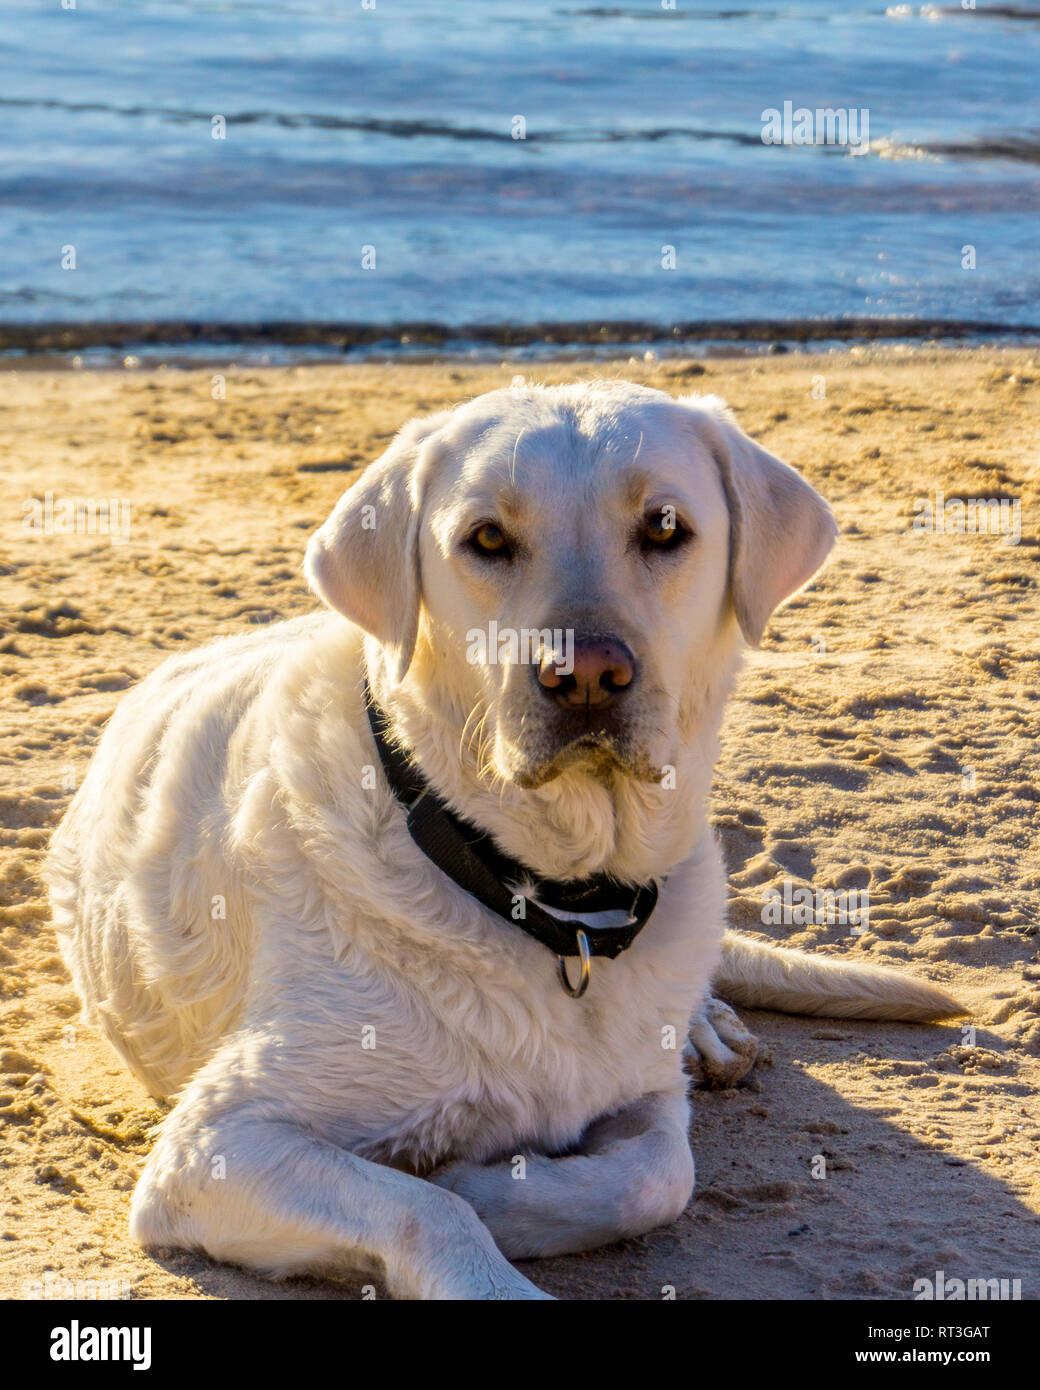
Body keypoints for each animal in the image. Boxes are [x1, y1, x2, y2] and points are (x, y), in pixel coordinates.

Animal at [46, 383, 956, 1301]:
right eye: (485, 539)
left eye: (665, 527)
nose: (585, 674)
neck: (545, 896)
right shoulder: (217, 1143)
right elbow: (428, 1208)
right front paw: (464, 1189)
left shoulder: (647, 1095)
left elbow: (658, 1174)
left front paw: (490, 1182)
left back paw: (710, 1028)